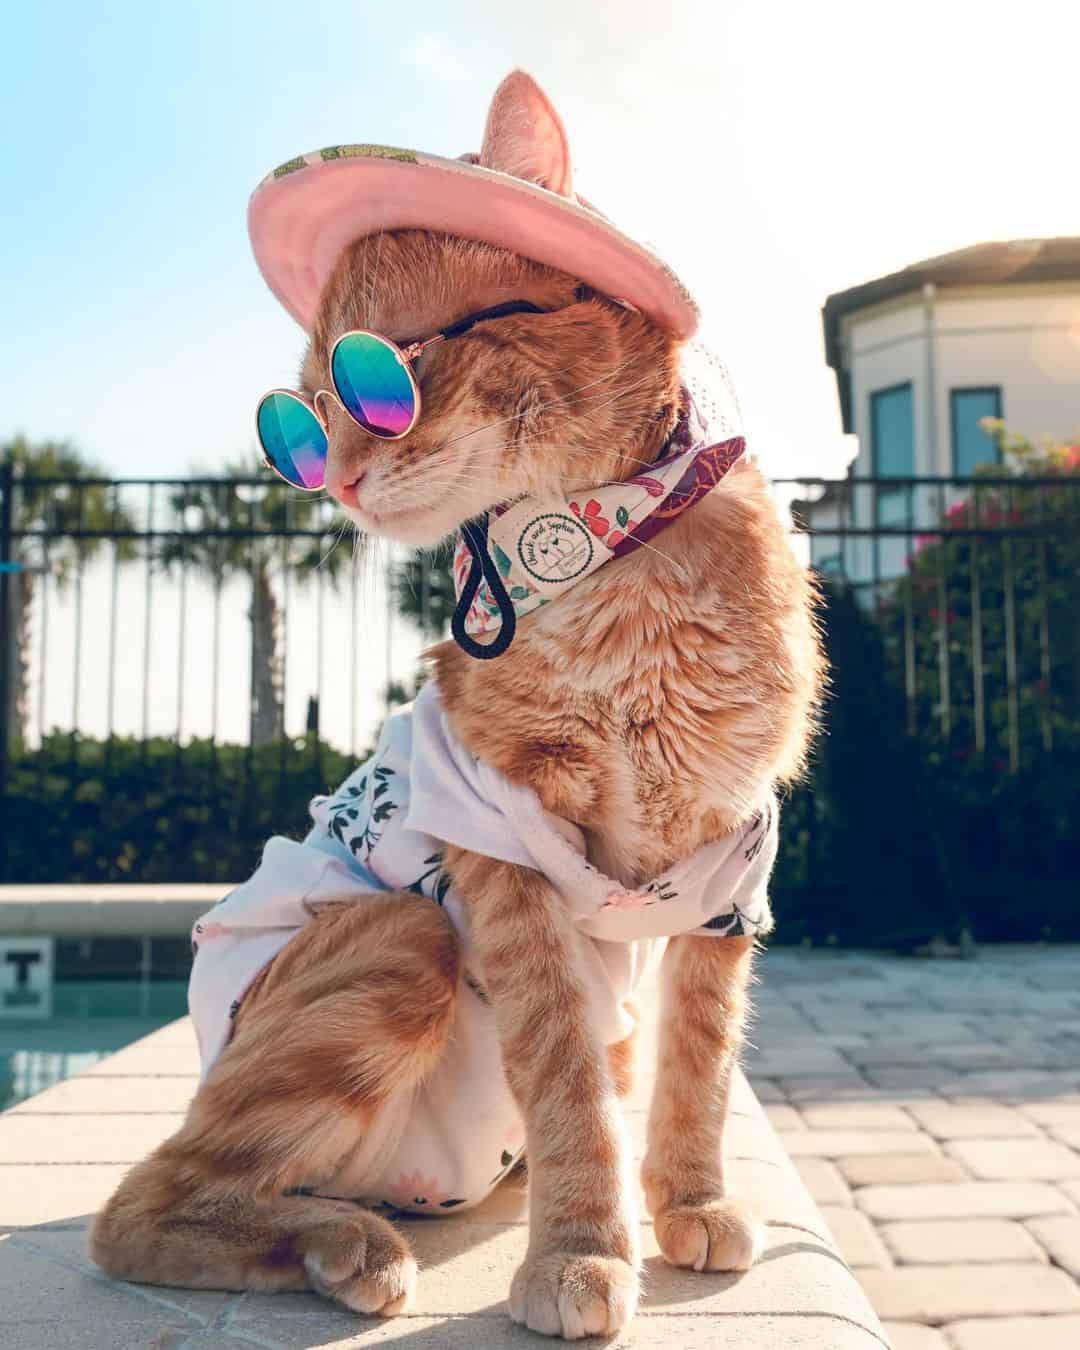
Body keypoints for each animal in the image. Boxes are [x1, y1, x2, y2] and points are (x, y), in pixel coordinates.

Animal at [90, 71, 820, 1339]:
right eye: (304, 412)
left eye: (375, 380)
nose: (332, 473)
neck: (607, 560)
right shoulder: (499, 843)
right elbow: (567, 1076)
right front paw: (581, 1251)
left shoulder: (733, 868)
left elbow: (700, 1063)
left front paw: (688, 1202)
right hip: (399, 934)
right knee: (138, 1207)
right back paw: (347, 1247)